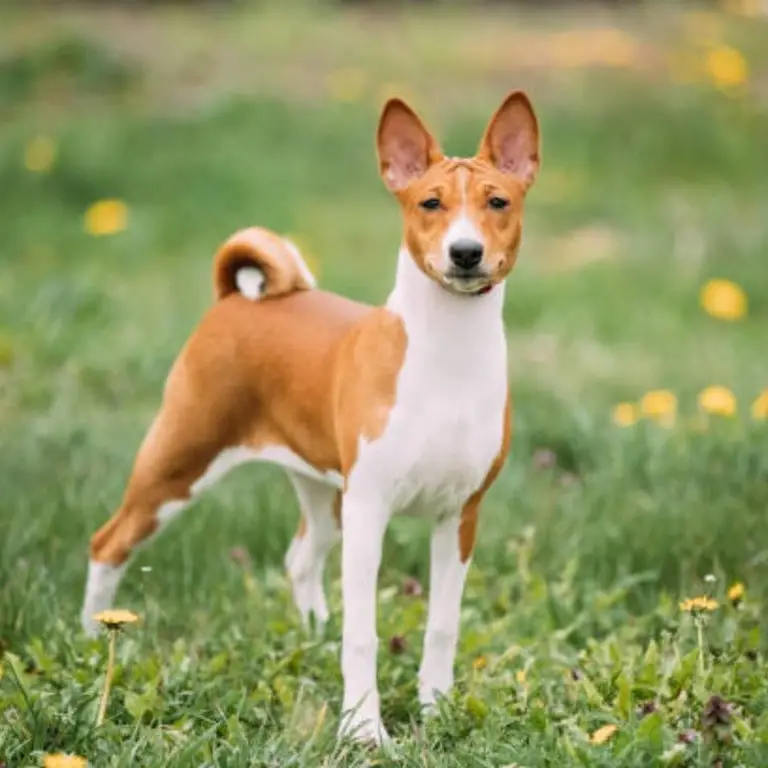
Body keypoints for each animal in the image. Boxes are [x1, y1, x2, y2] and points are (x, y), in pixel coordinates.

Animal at [82, 91, 540, 744]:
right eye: (430, 203)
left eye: (497, 202)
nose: (465, 252)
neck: (446, 355)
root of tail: (236, 299)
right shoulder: (371, 508)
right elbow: (364, 634)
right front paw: (364, 729)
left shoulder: (459, 516)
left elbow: (442, 627)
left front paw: (436, 710)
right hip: (178, 465)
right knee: (108, 543)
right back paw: (91, 641)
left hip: (324, 494)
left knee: (300, 558)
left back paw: (313, 636)